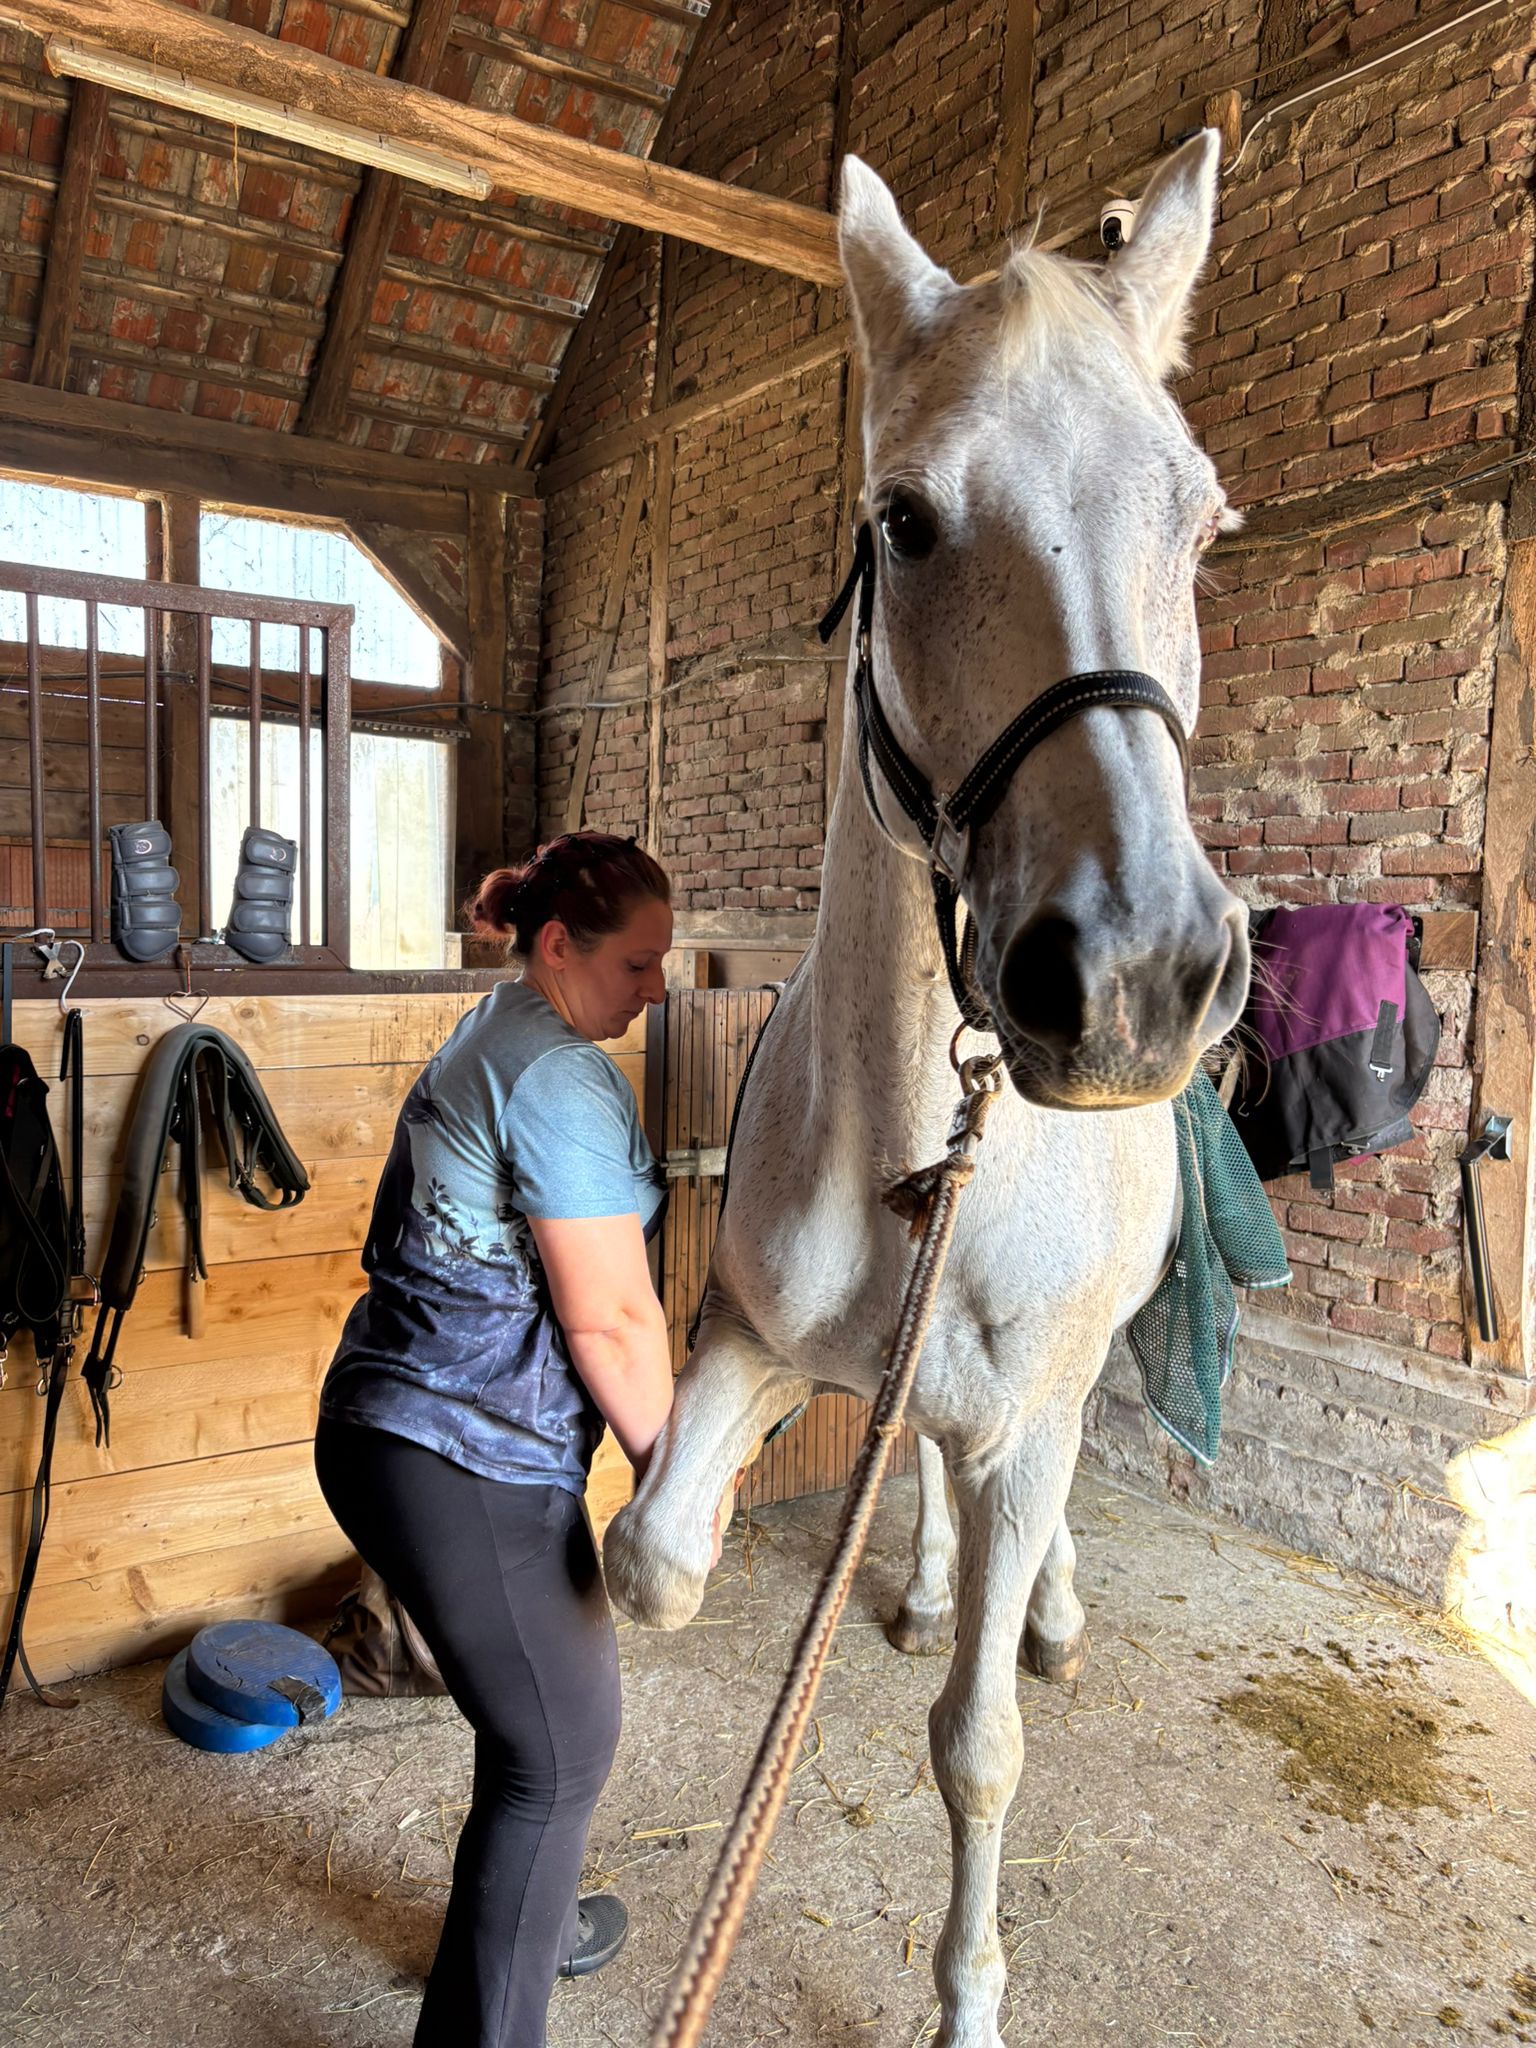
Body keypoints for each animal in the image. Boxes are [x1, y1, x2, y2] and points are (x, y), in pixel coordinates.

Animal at [605, 130, 1247, 2048]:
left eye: (1203, 522)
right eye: (902, 521)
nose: (1132, 980)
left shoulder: (1029, 1420)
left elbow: (978, 1748)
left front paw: (966, 1999)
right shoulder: (747, 1342)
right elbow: (655, 1561)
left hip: (1071, 1384)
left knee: (1039, 1499)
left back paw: (1041, 1606)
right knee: (928, 1483)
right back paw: (943, 1583)